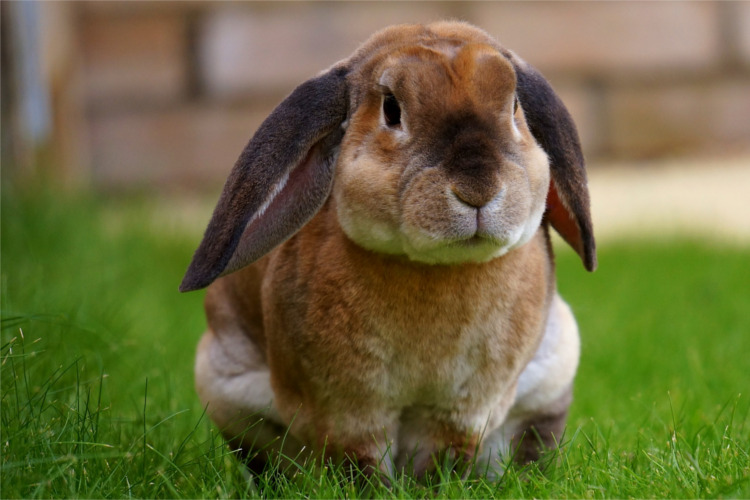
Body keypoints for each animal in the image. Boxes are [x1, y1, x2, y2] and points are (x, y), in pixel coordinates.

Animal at [182, 20, 600, 480]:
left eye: (514, 108)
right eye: (392, 110)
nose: (478, 189)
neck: (435, 269)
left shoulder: (461, 411)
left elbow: (442, 457)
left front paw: (434, 486)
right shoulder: (348, 410)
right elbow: (360, 460)